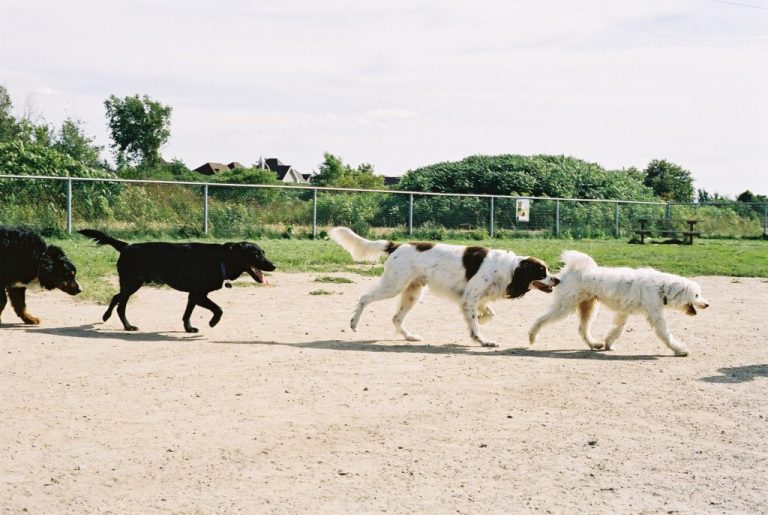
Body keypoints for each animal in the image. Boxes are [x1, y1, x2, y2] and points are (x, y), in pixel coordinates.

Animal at [77, 230, 276, 334]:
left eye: (263, 252)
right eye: (255, 254)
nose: (274, 265)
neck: (220, 259)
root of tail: (126, 246)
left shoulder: (194, 295)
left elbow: (187, 314)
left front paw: (188, 328)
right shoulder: (198, 294)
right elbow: (218, 309)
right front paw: (213, 322)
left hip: (134, 283)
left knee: (117, 298)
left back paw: (115, 320)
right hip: (131, 283)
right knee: (118, 302)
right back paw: (119, 322)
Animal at [330, 228, 560, 348]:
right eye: (542, 271)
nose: (557, 280)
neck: (510, 268)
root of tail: (396, 245)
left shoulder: (476, 299)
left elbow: (487, 315)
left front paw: (480, 322)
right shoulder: (469, 298)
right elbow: (476, 324)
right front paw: (482, 340)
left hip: (412, 292)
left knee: (396, 318)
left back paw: (410, 337)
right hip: (393, 286)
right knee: (364, 298)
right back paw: (353, 323)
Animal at [528, 251, 708, 356]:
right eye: (696, 295)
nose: (707, 304)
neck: (661, 287)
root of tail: (573, 270)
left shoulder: (623, 313)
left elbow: (616, 330)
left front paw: (608, 344)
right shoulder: (655, 316)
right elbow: (666, 335)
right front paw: (680, 349)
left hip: (588, 307)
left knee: (582, 329)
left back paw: (595, 344)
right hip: (565, 306)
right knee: (541, 319)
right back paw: (532, 337)